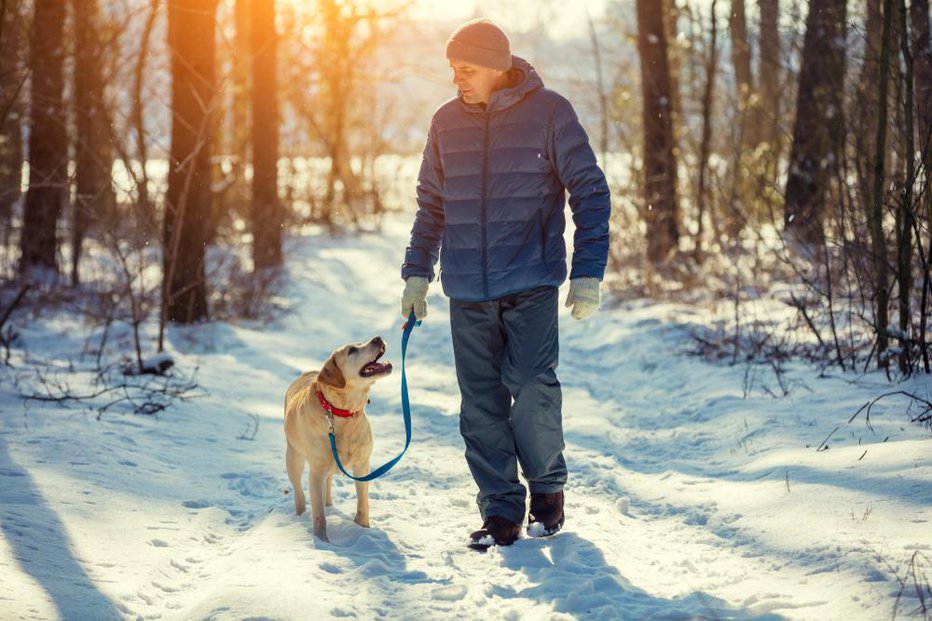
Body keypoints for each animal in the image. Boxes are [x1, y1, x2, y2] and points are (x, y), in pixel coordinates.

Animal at [280, 336, 390, 540]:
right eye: (352, 350)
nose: (378, 338)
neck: (342, 412)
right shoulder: (316, 472)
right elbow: (318, 515)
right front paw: (322, 541)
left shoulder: (362, 465)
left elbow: (363, 503)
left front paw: (364, 530)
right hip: (294, 458)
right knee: (299, 492)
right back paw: (300, 515)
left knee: (328, 483)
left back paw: (329, 506)